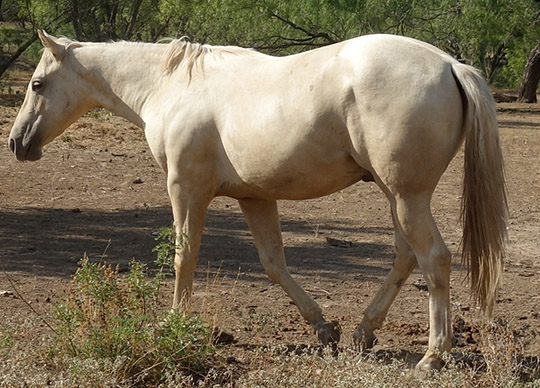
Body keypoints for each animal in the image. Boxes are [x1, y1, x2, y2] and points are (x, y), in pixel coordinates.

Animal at [7, 30, 506, 370]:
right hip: (395, 196)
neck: (172, 85)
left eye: (36, 85)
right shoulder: (254, 197)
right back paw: (363, 331)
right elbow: (273, 264)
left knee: (434, 259)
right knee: (406, 256)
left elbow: (184, 256)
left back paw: (433, 356)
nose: (16, 143)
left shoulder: (186, 189)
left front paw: (174, 324)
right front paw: (323, 328)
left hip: (406, 196)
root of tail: (449, 64)